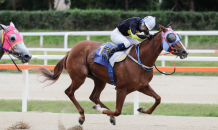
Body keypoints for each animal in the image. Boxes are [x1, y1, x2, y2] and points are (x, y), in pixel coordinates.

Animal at [37, 24, 187, 125]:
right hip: (79, 77)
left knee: (94, 96)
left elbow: (158, 99)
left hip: (99, 79)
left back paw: (105, 114)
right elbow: (118, 111)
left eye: (178, 36)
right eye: (171, 37)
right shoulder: (121, 89)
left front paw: (142, 109)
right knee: (69, 92)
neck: (141, 60)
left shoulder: (142, 86)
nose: (184, 52)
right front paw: (102, 110)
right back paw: (82, 116)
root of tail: (71, 50)